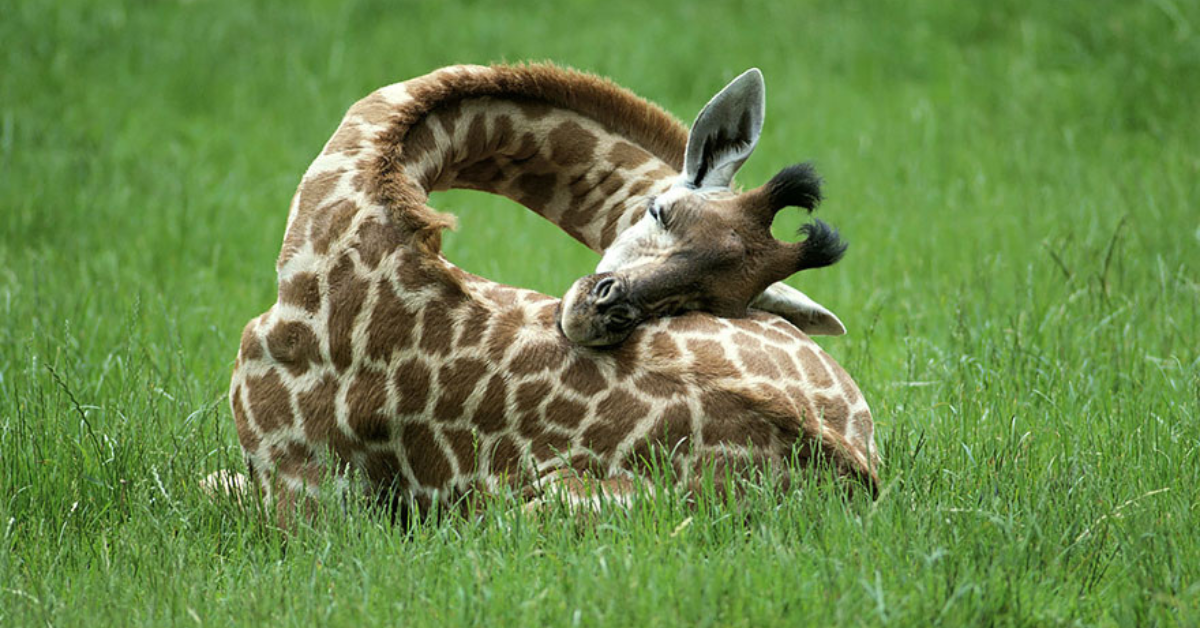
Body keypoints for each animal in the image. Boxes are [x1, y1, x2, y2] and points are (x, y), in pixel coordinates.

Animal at [222, 64, 880, 522]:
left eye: (719, 300)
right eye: (659, 211)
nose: (604, 312)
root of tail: (857, 474)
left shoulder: (299, 487)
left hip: (535, 510)